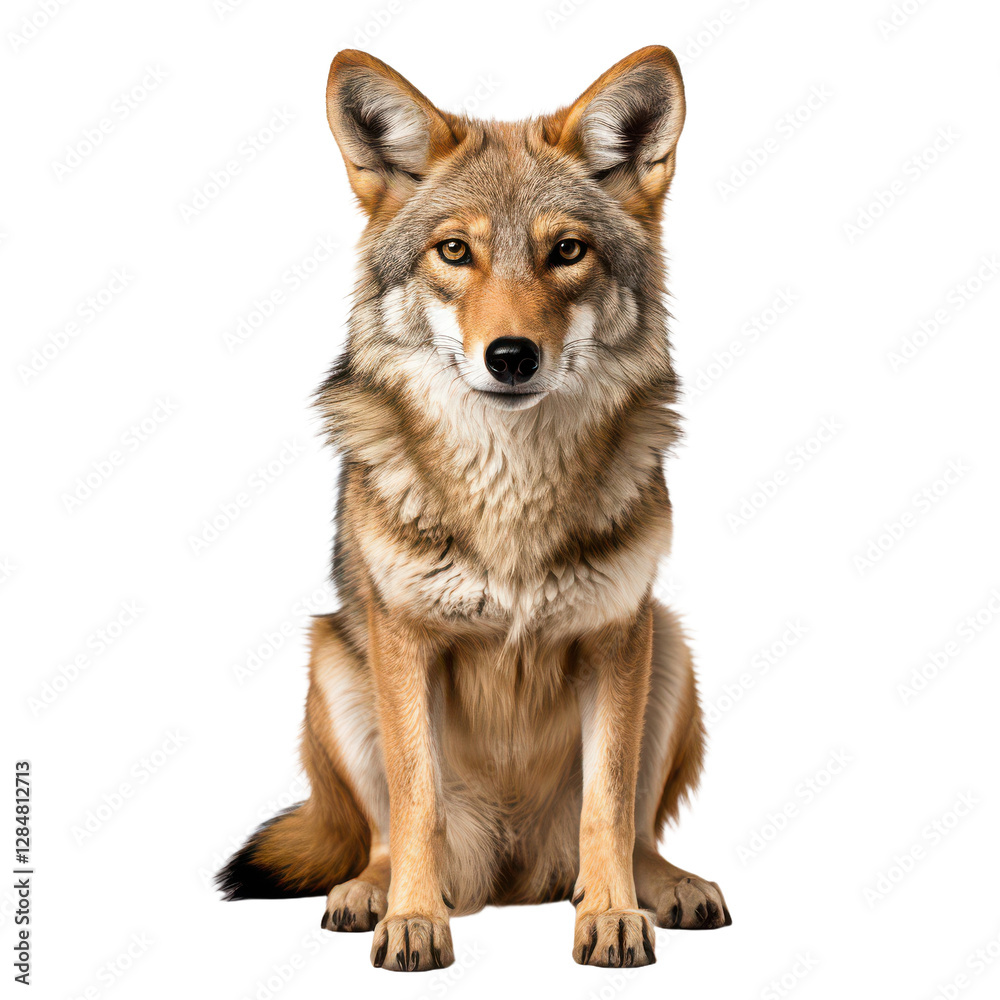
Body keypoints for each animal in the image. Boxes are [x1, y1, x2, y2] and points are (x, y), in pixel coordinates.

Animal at [218, 44, 731, 971]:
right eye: (455, 251)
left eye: (567, 251)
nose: (512, 356)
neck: (511, 490)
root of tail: (513, 874)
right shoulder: (405, 641)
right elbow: (415, 799)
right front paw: (414, 922)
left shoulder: (615, 636)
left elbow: (608, 805)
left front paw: (613, 916)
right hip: (333, 658)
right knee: (381, 834)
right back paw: (372, 893)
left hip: (667, 642)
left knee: (636, 831)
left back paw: (660, 887)